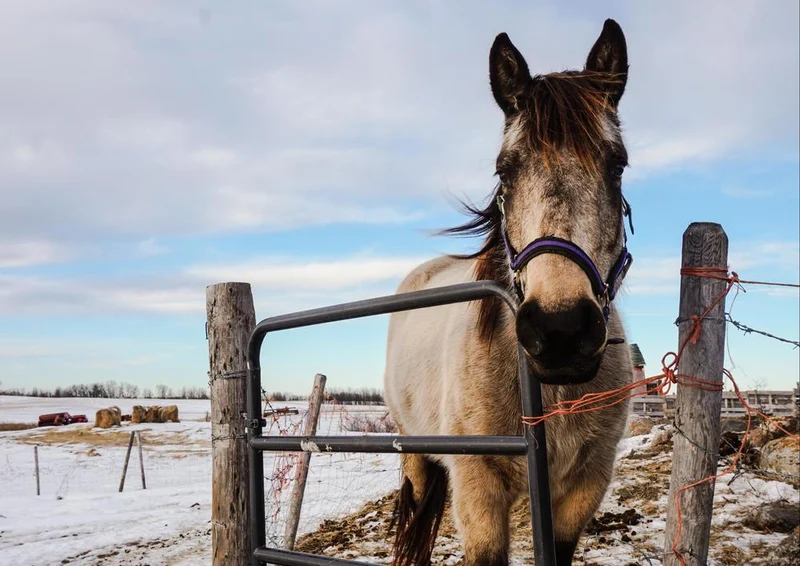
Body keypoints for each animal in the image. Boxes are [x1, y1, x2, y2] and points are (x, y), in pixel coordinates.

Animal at [383, 19, 635, 566]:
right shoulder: (478, 491)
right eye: (504, 170)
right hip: (415, 454)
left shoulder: (583, 489)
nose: (560, 330)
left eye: (617, 165)